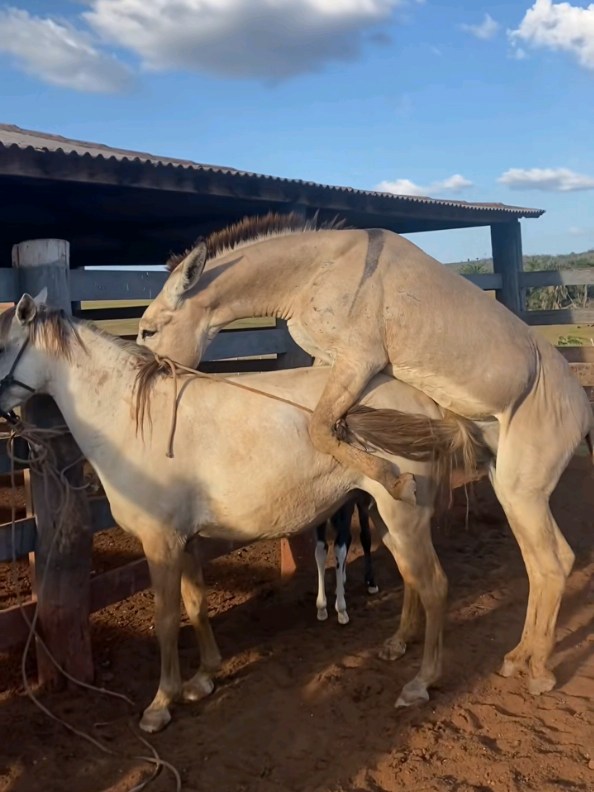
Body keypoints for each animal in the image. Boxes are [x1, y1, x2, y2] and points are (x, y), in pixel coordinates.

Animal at [0, 291, 494, 733]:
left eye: (0, 344)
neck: (134, 420)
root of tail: (425, 402)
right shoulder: (186, 540)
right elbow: (196, 605)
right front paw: (204, 677)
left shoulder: (161, 544)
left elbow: (166, 620)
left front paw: (161, 704)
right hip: (381, 514)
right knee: (411, 577)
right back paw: (398, 644)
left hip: (402, 517)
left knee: (434, 586)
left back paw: (421, 682)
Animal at [137, 211, 594, 696]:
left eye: (149, 329)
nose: (142, 375)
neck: (322, 270)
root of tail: (583, 408)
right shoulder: (331, 365)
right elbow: (322, 424)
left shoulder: (357, 361)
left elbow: (320, 427)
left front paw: (393, 479)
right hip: (510, 489)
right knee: (541, 565)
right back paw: (519, 656)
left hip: (523, 492)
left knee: (554, 563)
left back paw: (539, 670)